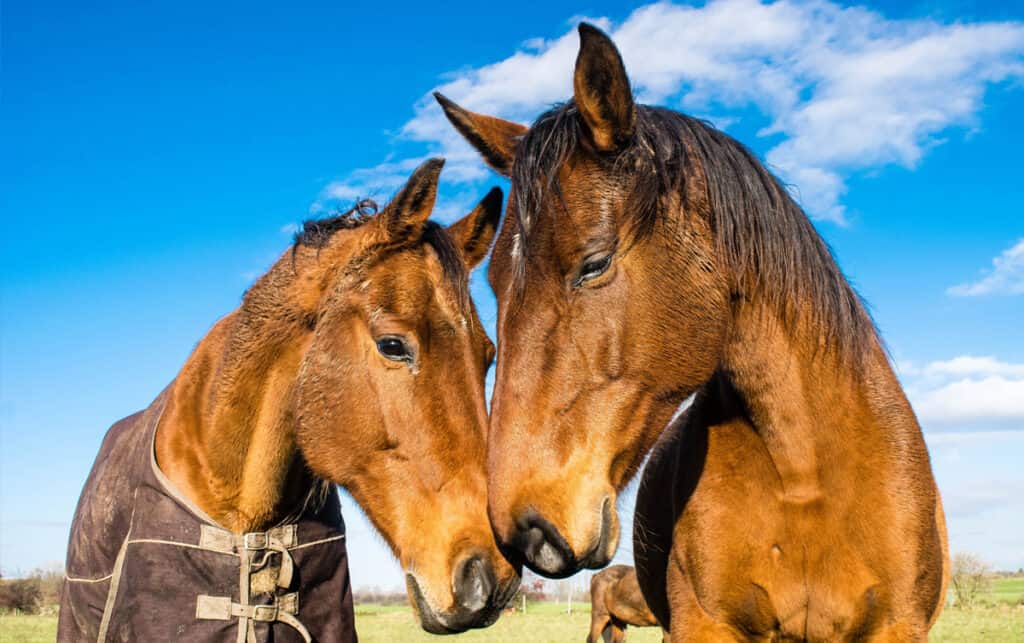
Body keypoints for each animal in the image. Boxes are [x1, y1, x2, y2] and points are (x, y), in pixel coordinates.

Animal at [435, 23, 948, 641]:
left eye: (594, 263)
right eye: (494, 280)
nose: (526, 532)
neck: (805, 475)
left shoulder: (896, 626)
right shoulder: (704, 625)